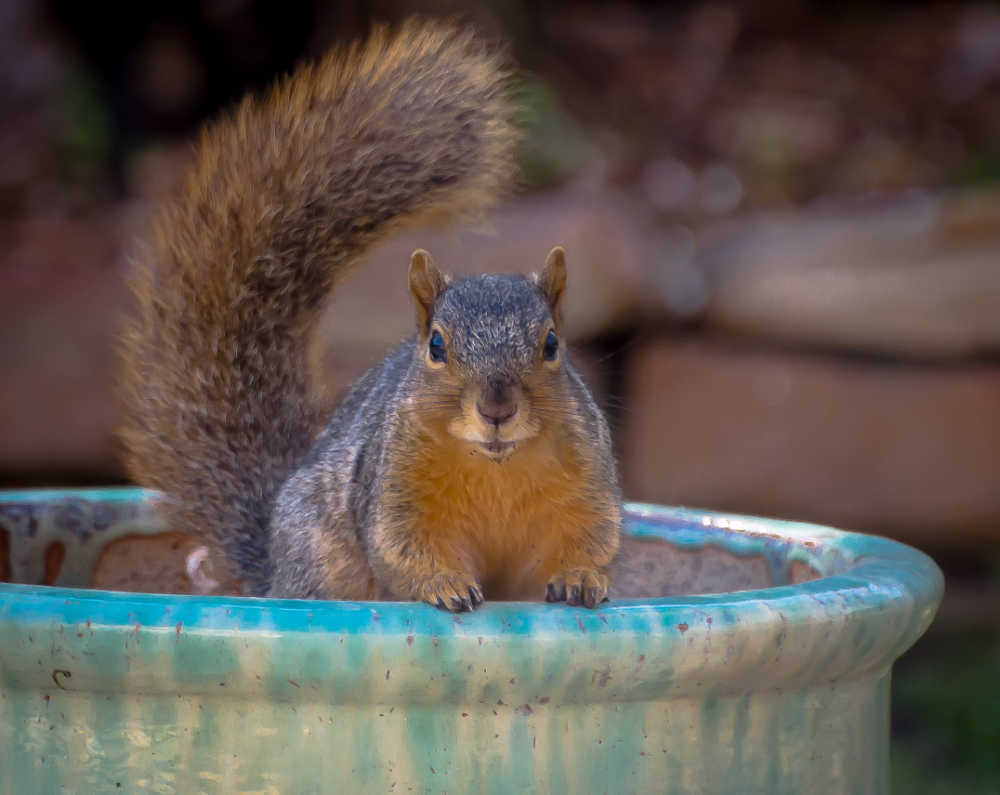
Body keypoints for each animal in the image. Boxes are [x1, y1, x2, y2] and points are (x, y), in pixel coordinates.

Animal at [115, 20, 616, 616]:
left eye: (551, 344)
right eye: (437, 346)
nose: (497, 408)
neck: (496, 464)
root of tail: (274, 571)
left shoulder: (584, 474)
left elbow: (590, 535)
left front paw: (581, 577)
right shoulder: (393, 486)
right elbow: (401, 547)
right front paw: (445, 584)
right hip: (320, 558)